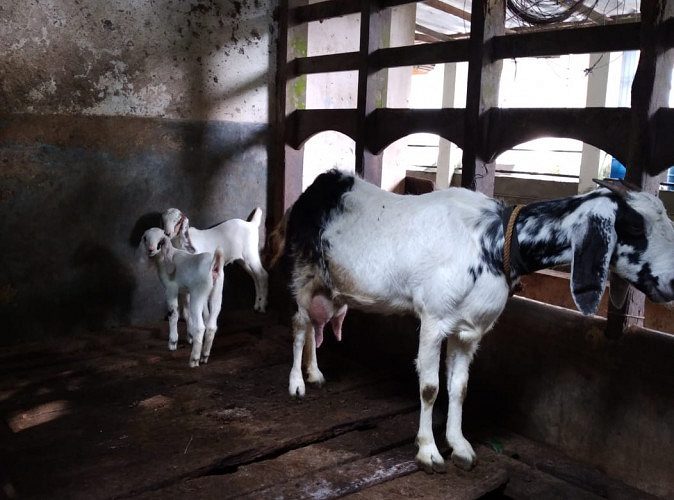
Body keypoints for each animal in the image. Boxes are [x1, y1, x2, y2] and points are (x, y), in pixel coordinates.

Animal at [140, 228, 225, 367]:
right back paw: (204, 356)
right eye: (146, 238)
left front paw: (172, 342)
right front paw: (189, 336)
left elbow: (173, 314)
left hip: (198, 294)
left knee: (200, 327)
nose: (151, 249)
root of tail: (214, 265)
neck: (165, 260)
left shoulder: (171, 289)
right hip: (217, 293)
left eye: (160, 240)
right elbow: (186, 313)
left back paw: (194, 360)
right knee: (212, 326)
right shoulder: (185, 291)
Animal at [273, 170, 674, 473]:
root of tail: (323, 183)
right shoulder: (433, 319)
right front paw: (429, 452)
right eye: (634, 227)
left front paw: (459, 445)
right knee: (299, 325)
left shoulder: (468, 330)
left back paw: (315, 373)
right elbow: (430, 387)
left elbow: (460, 387)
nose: (671, 283)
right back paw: (296, 383)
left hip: (330, 286)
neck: (492, 242)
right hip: (303, 273)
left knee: (316, 324)